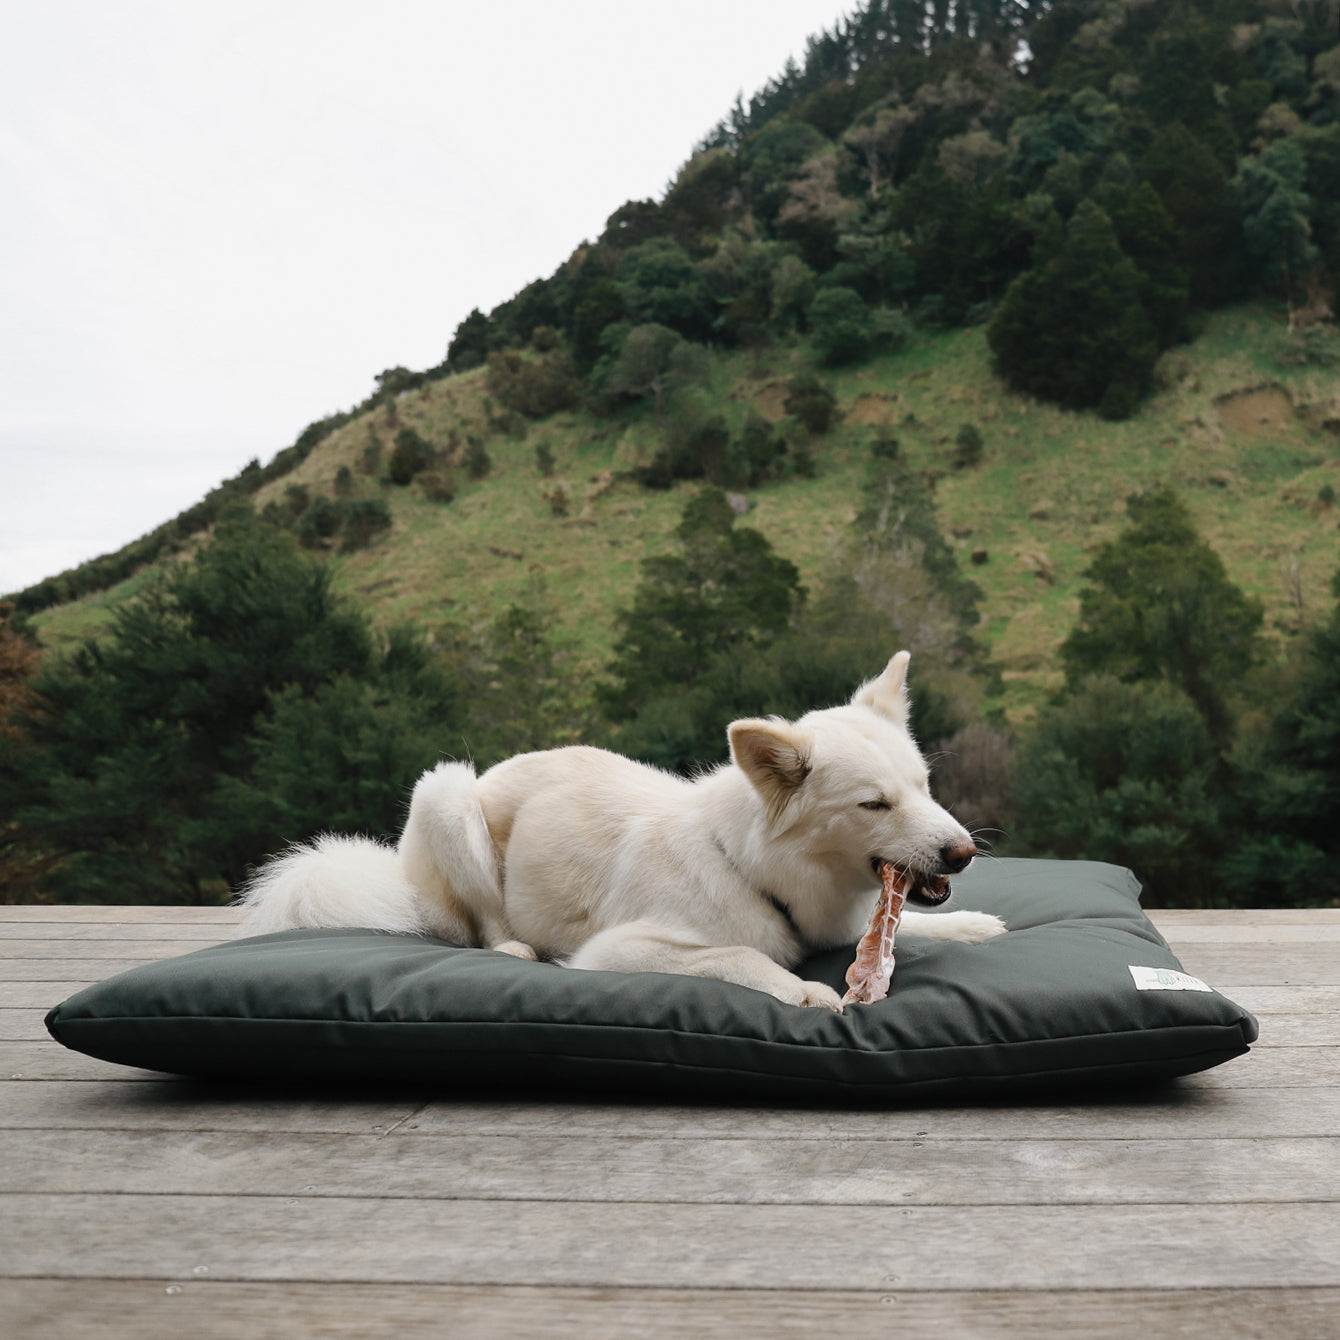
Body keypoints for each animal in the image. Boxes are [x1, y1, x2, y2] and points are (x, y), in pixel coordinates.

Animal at [235, 653, 1002, 1007]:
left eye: (923, 786)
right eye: (874, 805)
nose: (964, 853)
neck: (746, 864)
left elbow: (911, 926)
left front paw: (970, 926)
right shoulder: (617, 952)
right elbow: (738, 956)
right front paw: (804, 990)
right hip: (445, 793)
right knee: (483, 925)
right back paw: (514, 947)